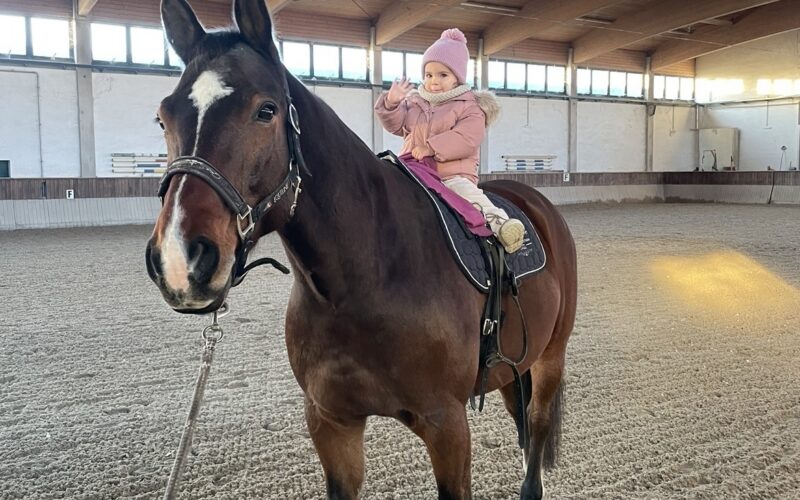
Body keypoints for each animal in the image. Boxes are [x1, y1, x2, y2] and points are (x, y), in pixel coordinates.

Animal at [145, 0, 577, 498]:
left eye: (266, 110)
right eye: (163, 117)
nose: (181, 259)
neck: (366, 277)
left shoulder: (447, 426)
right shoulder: (332, 421)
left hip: (550, 358)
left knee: (537, 428)